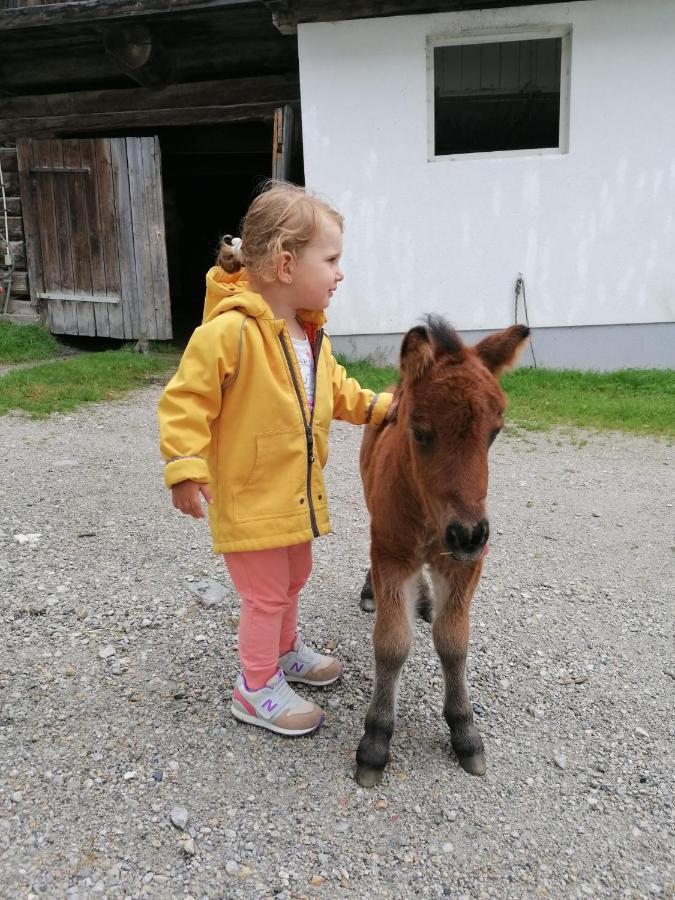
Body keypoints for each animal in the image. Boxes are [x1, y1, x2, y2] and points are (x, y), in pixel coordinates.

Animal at [356, 316, 532, 788]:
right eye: (419, 432)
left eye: (495, 433)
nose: (469, 535)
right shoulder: (391, 555)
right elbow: (391, 642)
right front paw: (376, 739)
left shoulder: (464, 567)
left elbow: (453, 641)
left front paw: (465, 731)